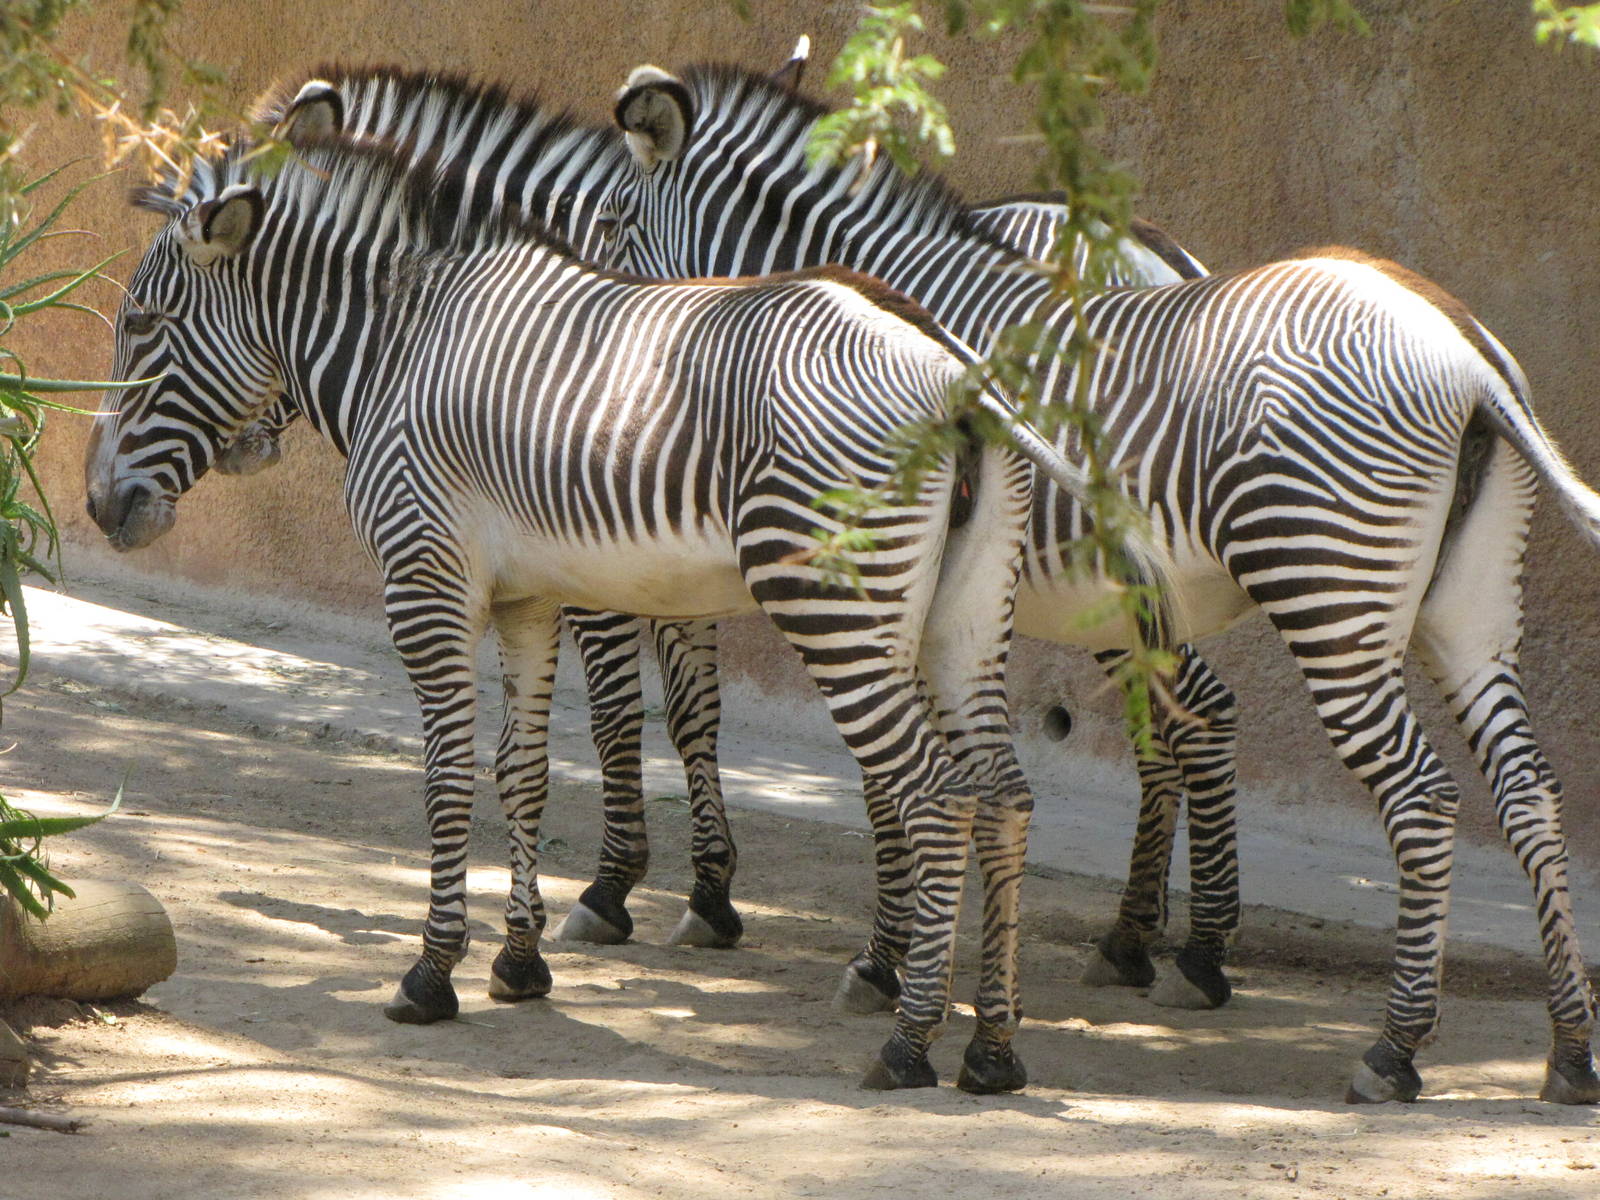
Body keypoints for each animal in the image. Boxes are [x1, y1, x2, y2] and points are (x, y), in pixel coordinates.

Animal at [83, 118, 1171, 1093]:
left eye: (140, 327)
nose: (98, 507)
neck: (407, 337)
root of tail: (956, 375)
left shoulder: (426, 580)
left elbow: (447, 777)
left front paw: (430, 974)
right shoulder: (526, 598)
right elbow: (521, 773)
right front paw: (519, 964)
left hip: (834, 602)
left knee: (936, 795)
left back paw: (908, 1043)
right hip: (963, 618)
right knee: (1004, 796)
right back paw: (992, 1051)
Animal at [601, 61, 1600, 1106]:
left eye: (614, 222)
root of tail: (1465, 352)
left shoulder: (892, 596)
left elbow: (890, 786)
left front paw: (884, 966)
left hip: (1329, 590)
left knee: (1422, 795)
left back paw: (1393, 1048)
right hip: (1465, 612)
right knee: (1528, 788)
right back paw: (1569, 1051)